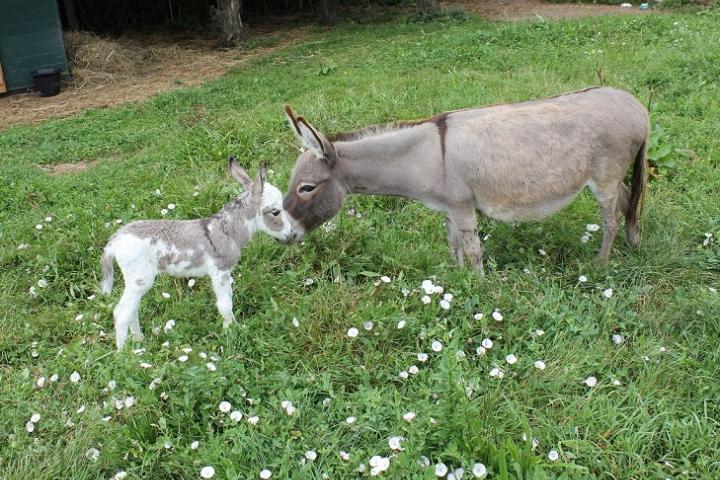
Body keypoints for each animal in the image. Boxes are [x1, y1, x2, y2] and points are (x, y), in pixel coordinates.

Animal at [101, 158, 296, 348]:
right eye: (276, 212)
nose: (292, 235)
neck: (227, 230)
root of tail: (117, 238)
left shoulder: (225, 274)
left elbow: (228, 299)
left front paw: (232, 328)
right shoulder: (219, 272)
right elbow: (225, 304)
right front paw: (232, 330)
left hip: (137, 282)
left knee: (131, 310)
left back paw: (139, 340)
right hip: (139, 279)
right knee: (121, 312)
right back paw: (125, 352)